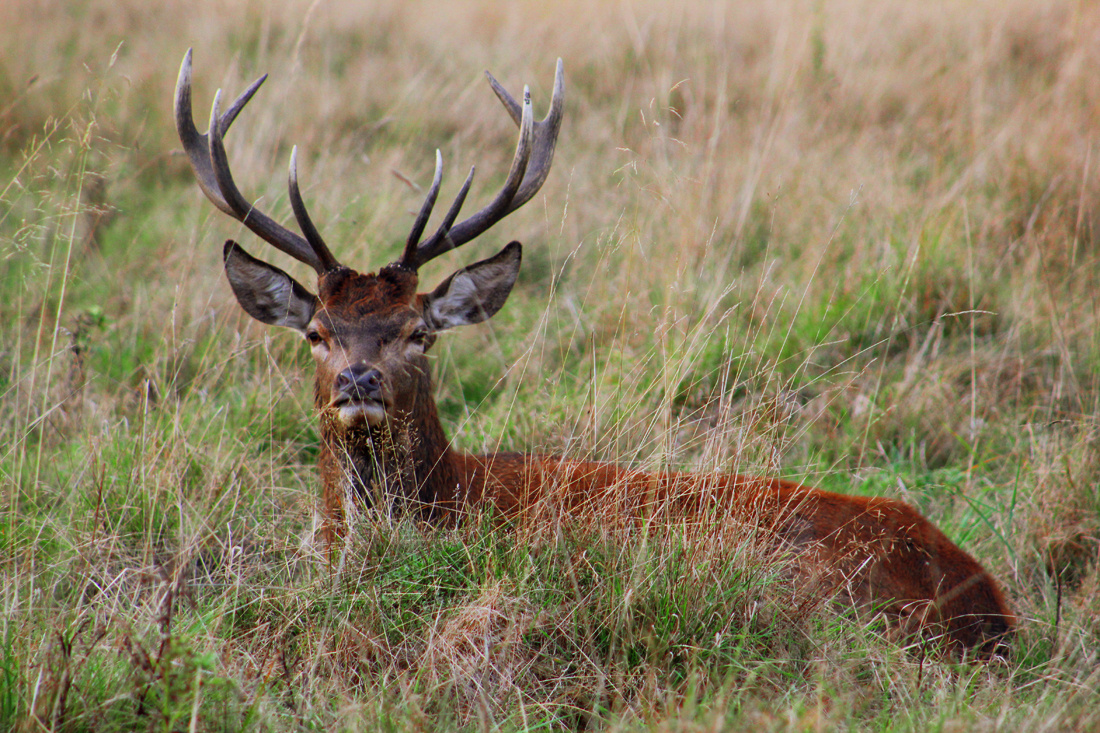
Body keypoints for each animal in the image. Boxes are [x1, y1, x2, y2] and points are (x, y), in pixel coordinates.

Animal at [173, 52, 1012, 655]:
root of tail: (985, 600)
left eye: (419, 329)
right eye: (317, 331)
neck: (456, 498)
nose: (358, 378)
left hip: (802, 583)